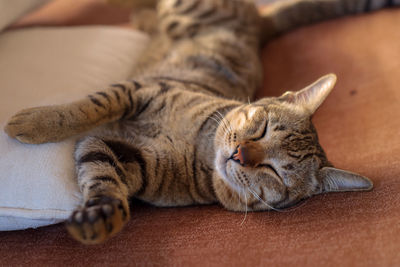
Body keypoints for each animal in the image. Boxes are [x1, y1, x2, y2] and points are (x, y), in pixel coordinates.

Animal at [3, 0, 396, 245]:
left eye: (274, 172)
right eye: (261, 128)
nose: (239, 154)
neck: (196, 147)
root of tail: (260, 23)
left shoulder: (125, 157)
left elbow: (102, 179)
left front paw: (100, 218)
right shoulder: (139, 91)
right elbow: (85, 109)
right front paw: (32, 123)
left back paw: (144, 21)